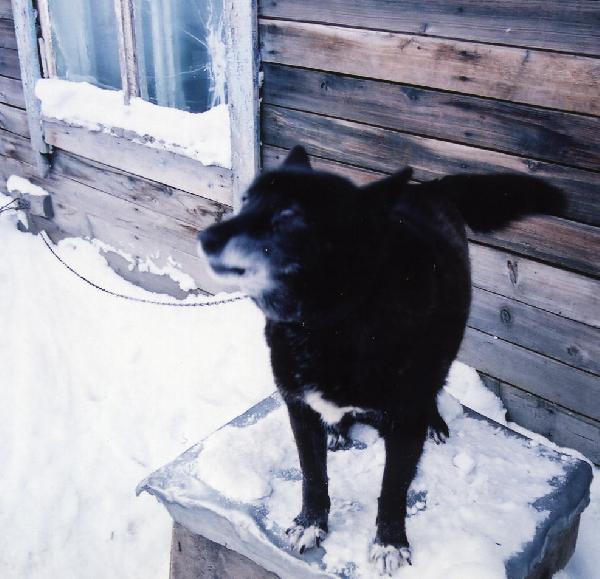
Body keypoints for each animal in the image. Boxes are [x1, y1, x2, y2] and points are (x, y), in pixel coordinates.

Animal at [197, 146, 564, 576]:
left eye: (288, 215)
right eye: (246, 201)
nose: (204, 237)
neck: (330, 322)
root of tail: (426, 188)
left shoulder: (404, 422)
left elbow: (392, 489)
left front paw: (390, 543)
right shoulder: (299, 409)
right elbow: (312, 475)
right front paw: (311, 523)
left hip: (443, 354)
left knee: (434, 391)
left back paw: (435, 423)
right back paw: (339, 428)